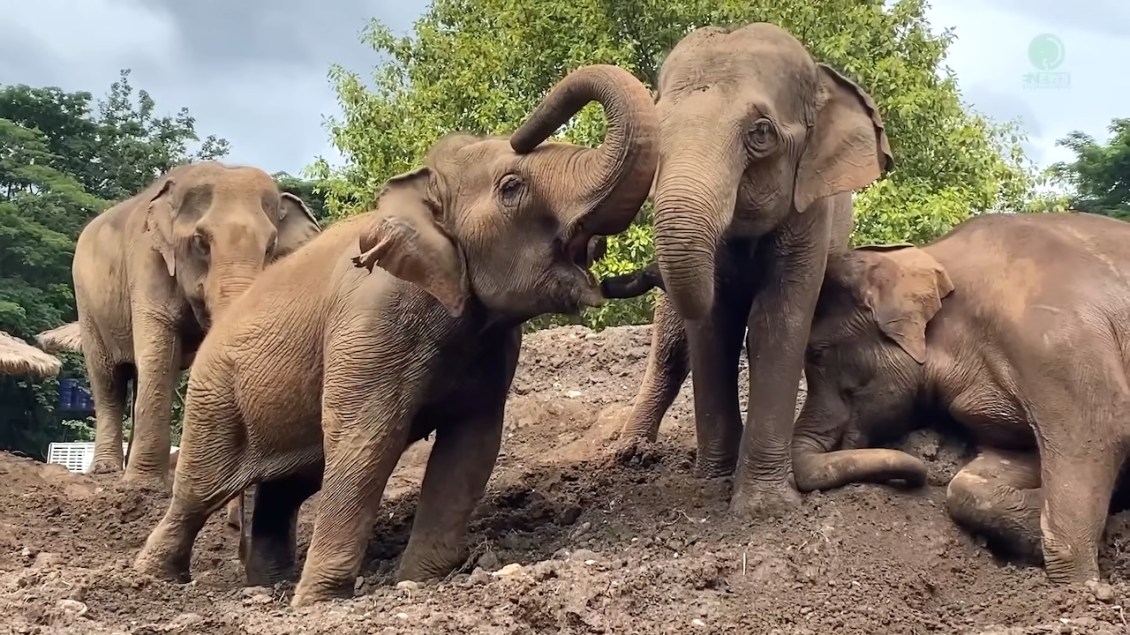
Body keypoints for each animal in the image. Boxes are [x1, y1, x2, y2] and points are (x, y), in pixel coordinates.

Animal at [132, 63, 659, 608]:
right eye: (511, 186)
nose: (521, 132)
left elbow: (470, 447)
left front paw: (417, 581)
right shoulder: (373, 325)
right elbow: (366, 441)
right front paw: (318, 602)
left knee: (285, 491)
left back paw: (268, 585)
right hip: (216, 400)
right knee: (199, 492)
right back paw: (149, 580)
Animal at [608, 22, 893, 519]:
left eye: (761, 133)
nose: (608, 281)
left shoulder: (810, 214)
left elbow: (776, 326)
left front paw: (764, 507)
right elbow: (713, 329)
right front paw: (712, 485)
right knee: (671, 346)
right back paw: (632, 454)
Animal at [788, 211, 1130, 585]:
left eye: (817, 353)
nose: (923, 470)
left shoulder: (1053, 338)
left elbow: (1101, 429)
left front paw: (1082, 586)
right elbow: (987, 473)